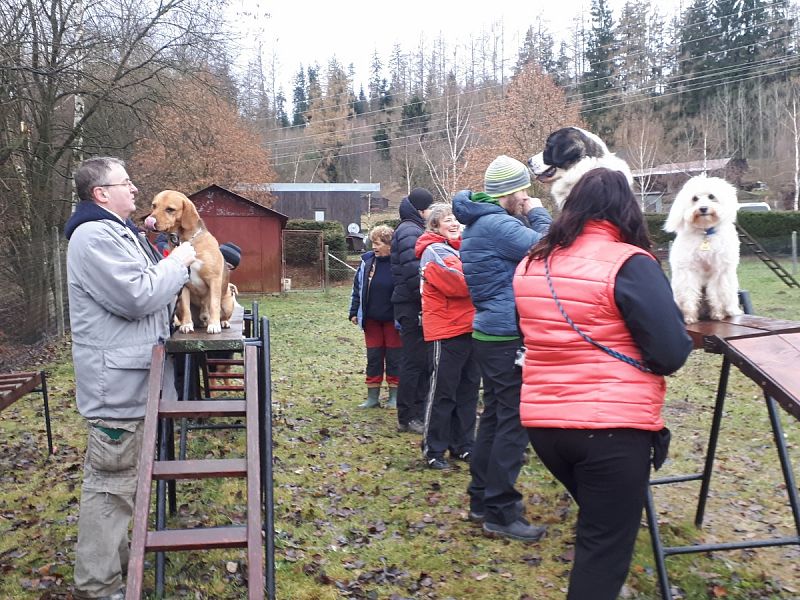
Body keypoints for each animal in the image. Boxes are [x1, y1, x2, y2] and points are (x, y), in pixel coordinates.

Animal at [147, 190, 234, 332]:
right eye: (154, 206)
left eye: (170, 209)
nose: (149, 221)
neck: (186, 240)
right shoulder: (184, 284)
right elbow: (186, 307)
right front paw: (186, 324)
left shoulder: (214, 279)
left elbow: (214, 304)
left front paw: (214, 325)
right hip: (177, 307)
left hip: (228, 302)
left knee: (222, 314)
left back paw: (222, 322)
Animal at [664, 173, 744, 324]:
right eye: (695, 198)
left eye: (711, 196)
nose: (703, 208)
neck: (705, 233)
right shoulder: (688, 271)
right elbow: (689, 294)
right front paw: (689, 317)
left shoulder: (719, 271)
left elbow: (717, 293)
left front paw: (718, 314)